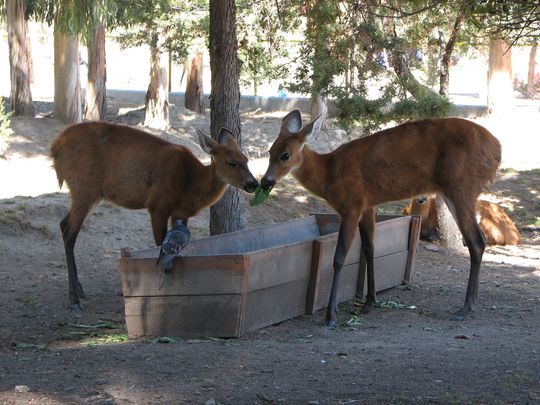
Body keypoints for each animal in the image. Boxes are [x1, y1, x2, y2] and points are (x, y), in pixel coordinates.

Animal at [51, 121, 260, 308]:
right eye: (231, 162)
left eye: (246, 159)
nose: (254, 183)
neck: (191, 185)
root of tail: (55, 147)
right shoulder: (157, 205)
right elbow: (160, 243)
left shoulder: (181, 212)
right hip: (84, 186)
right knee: (70, 233)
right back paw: (74, 299)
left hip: (91, 193)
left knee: (63, 224)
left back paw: (80, 291)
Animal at [262, 110, 502, 326]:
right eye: (269, 151)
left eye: (285, 155)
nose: (265, 181)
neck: (329, 172)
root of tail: (497, 149)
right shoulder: (368, 206)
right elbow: (370, 249)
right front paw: (369, 302)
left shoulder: (351, 205)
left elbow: (339, 257)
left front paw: (331, 315)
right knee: (478, 240)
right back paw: (471, 303)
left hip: (461, 187)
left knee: (476, 241)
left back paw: (465, 308)